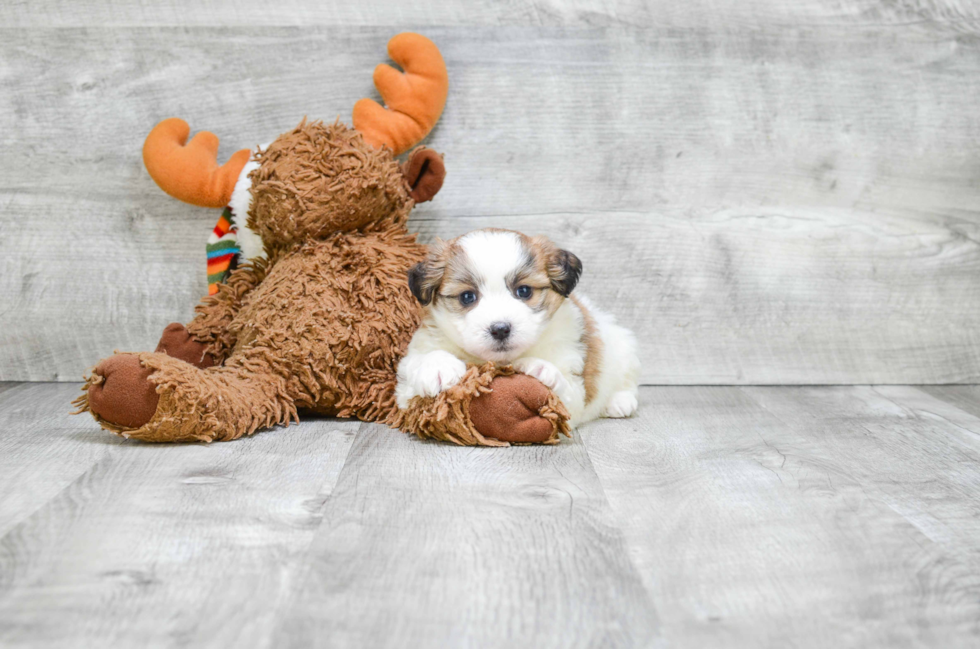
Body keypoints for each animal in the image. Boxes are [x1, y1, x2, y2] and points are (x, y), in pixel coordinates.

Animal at [394, 225, 640, 428]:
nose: (500, 329)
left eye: (524, 291)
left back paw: (619, 401)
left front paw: (542, 369)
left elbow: (566, 396)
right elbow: (419, 364)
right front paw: (437, 366)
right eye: (467, 297)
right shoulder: (405, 392)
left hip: (624, 348)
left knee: (627, 380)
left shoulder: (574, 388)